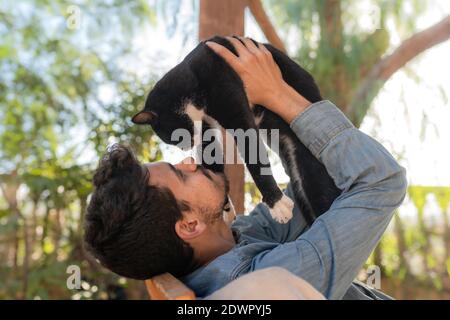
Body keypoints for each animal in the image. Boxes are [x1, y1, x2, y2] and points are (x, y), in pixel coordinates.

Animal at [133, 35, 342, 225]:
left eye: (171, 138)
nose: (185, 148)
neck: (192, 77)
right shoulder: (206, 127)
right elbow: (213, 163)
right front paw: (225, 207)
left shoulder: (232, 103)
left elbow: (254, 158)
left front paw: (276, 204)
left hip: (311, 170)